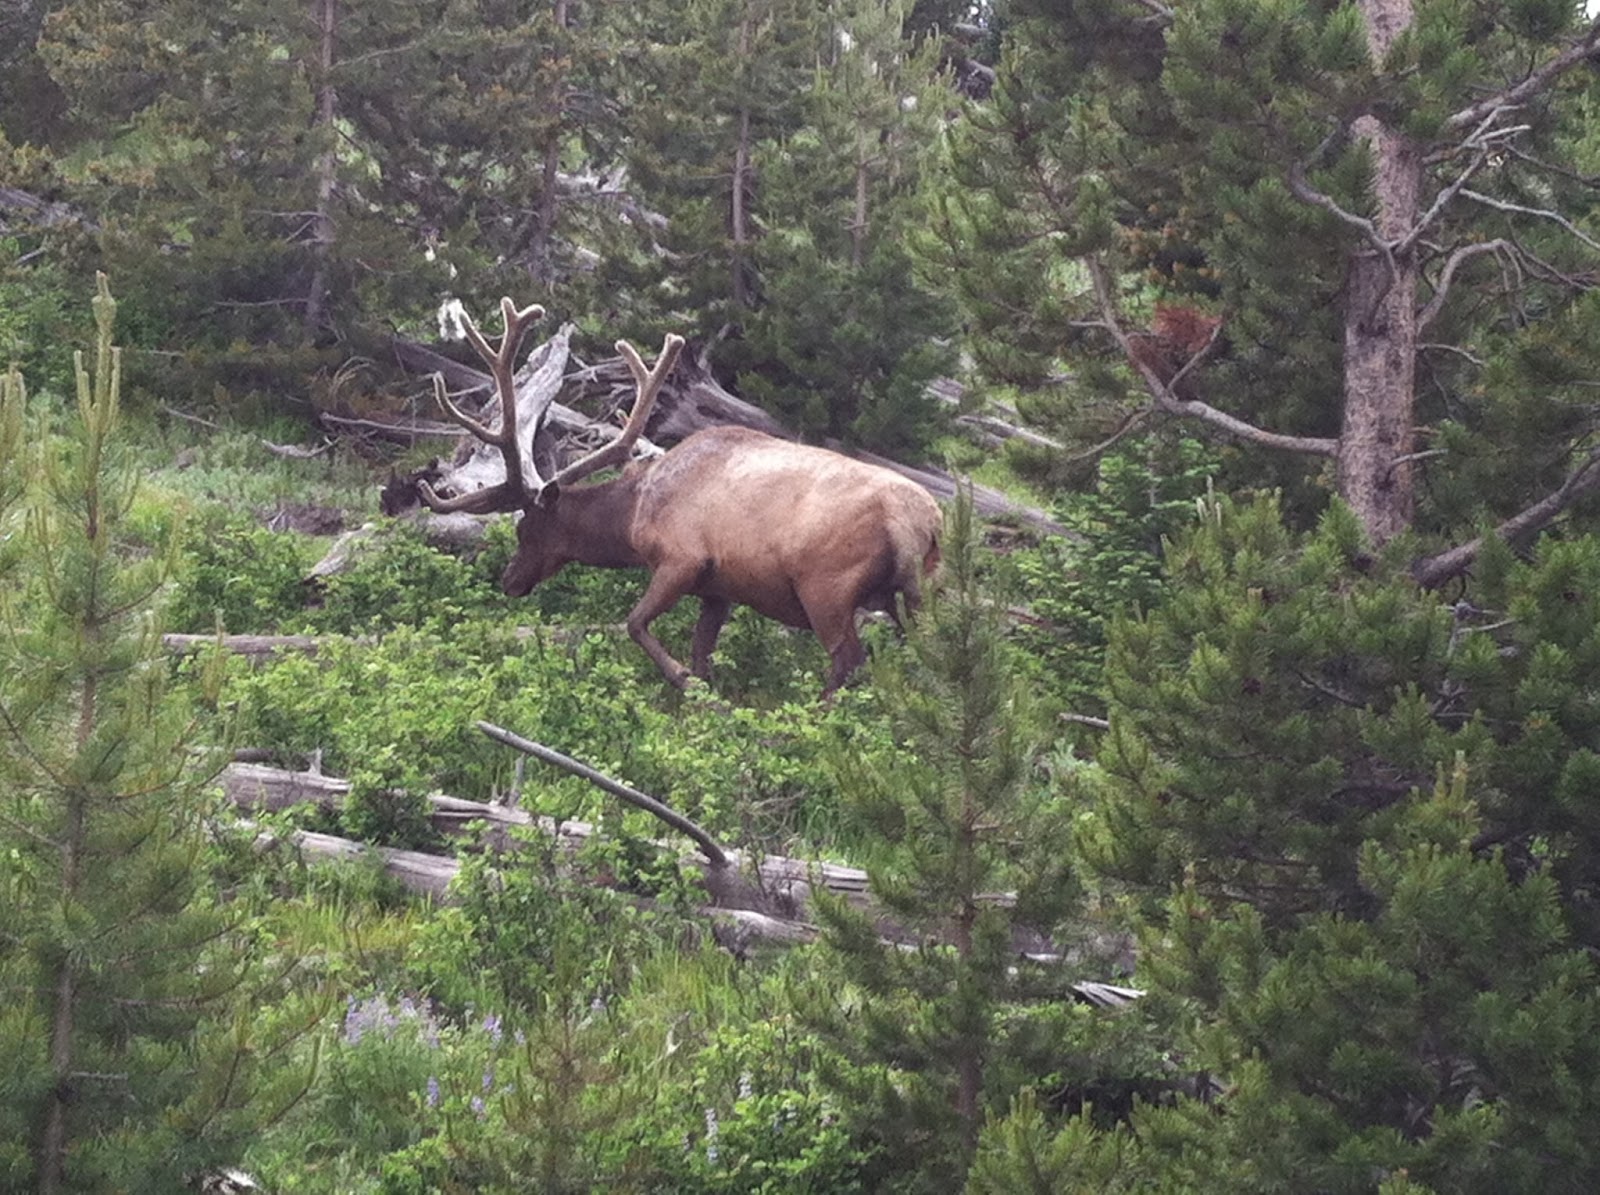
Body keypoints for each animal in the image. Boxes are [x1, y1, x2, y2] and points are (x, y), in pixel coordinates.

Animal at [414, 297, 943, 697]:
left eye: (527, 530)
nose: (508, 580)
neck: (632, 517)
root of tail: (920, 522)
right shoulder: (718, 589)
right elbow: (701, 648)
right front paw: (703, 697)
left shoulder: (682, 558)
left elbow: (635, 624)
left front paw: (685, 682)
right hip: (918, 591)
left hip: (827, 586)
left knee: (848, 660)